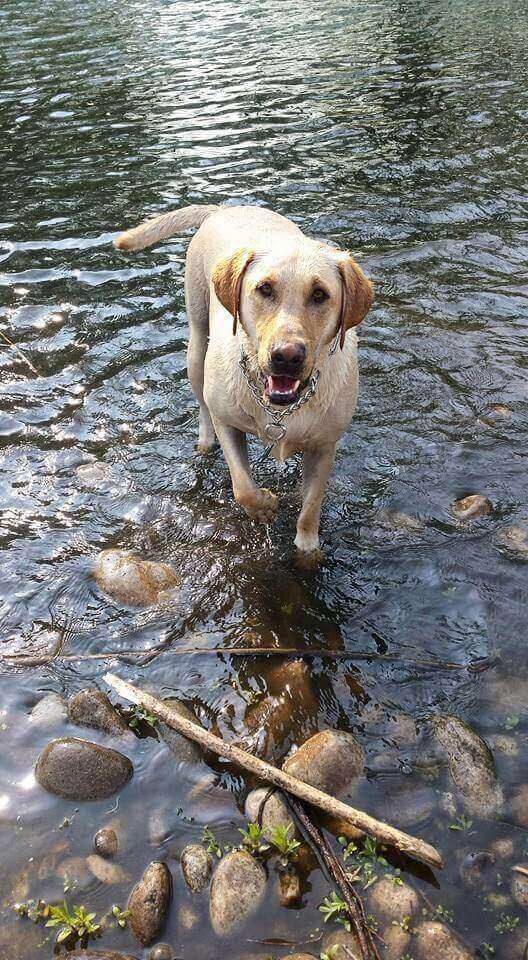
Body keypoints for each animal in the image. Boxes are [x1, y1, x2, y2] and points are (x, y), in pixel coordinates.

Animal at [115, 208, 374, 556]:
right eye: (265, 289)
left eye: (320, 294)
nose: (287, 356)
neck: (280, 408)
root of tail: (224, 207)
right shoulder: (227, 421)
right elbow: (242, 486)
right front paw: (263, 506)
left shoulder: (324, 445)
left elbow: (310, 508)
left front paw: (307, 549)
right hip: (197, 343)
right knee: (202, 403)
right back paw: (204, 441)